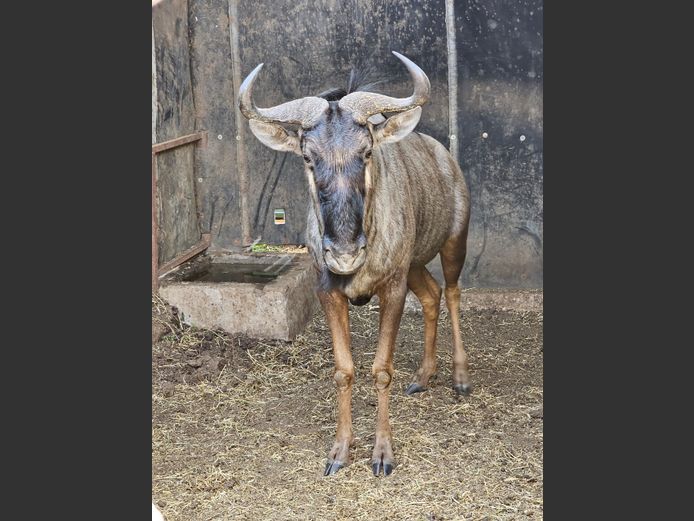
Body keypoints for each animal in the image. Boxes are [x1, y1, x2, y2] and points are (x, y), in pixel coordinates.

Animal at [238, 52, 471, 476]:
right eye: (308, 157)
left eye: (366, 151)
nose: (345, 254)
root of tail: (444, 158)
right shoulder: (329, 292)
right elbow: (344, 371)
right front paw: (340, 451)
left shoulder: (392, 289)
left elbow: (381, 370)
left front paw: (382, 454)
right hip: (415, 263)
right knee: (432, 296)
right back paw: (423, 376)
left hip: (453, 244)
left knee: (453, 293)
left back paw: (460, 377)